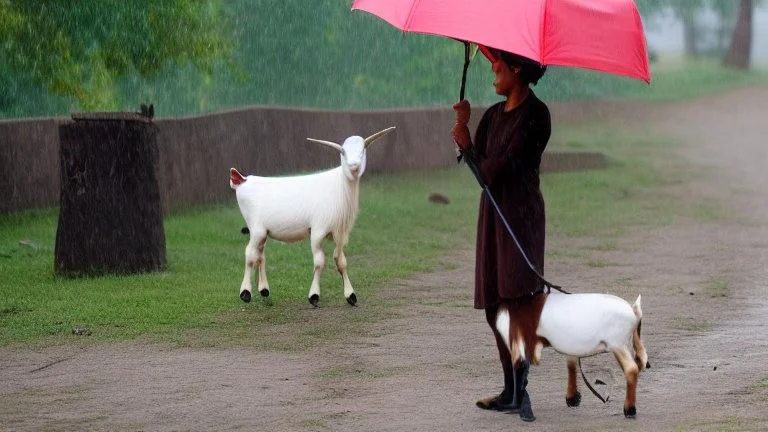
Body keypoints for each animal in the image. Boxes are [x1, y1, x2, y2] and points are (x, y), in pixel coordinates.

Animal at [228, 126, 396, 306]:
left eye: (363, 150)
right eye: (343, 153)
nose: (354, 167)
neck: (339, 186)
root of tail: (243, 180)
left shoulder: (340, 234)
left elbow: (341, 261)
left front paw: (351, 295)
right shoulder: (318, 230)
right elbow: (319, 262)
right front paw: (314, 296)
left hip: (262, 231)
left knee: (260, 254)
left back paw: (264, 290)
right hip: (256, 227)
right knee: (250, 254)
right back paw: (245, 293)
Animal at [498, 292, 648, 416]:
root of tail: (634, 311)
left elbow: (518, 365)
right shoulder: (571, 346)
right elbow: (571, 366)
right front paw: (573, 398)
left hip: (618, 345)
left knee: (631, 369)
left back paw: (629, 409)